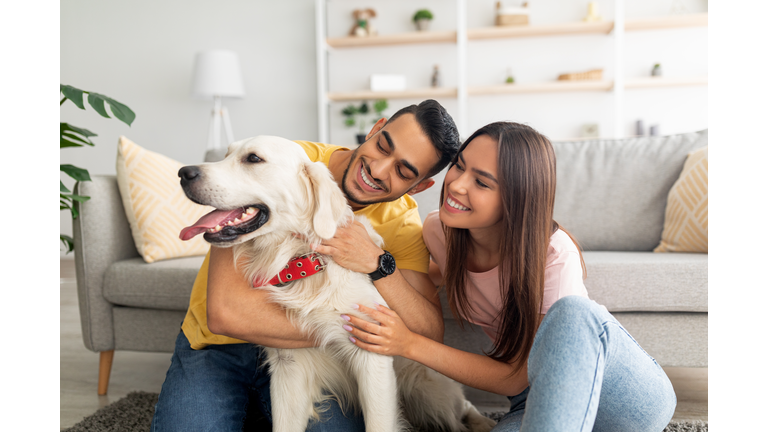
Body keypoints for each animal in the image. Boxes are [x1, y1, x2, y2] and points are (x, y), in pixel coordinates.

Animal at [177, 136, 496, 432]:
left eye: (253, 158)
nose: (183, 172)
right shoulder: (288, 367)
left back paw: (483, 421)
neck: (307, 262)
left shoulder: (373, 353)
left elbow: (379, 424)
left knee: (460, 410)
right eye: (226, 154)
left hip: (425, 388)